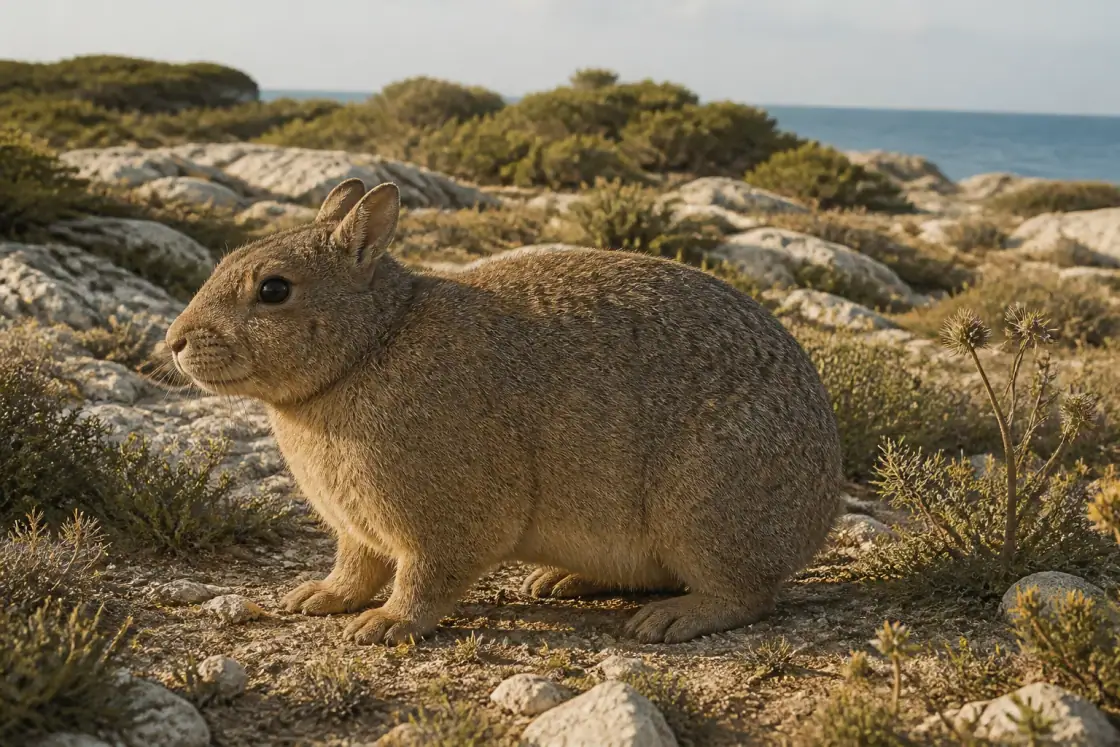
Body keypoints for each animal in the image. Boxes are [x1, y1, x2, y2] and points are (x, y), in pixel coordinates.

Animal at [165, 178, 843, 645]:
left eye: (274, 289)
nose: (174, 341)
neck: (370, 344)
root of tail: (822, 507)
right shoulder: (357, 528)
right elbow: (354, 568)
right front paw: (313, 598)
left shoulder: (438, 522)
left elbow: (423, 579)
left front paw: (383, 627)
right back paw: (561, 582)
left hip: (705, 505)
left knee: (746, 595)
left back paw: (666, 621)